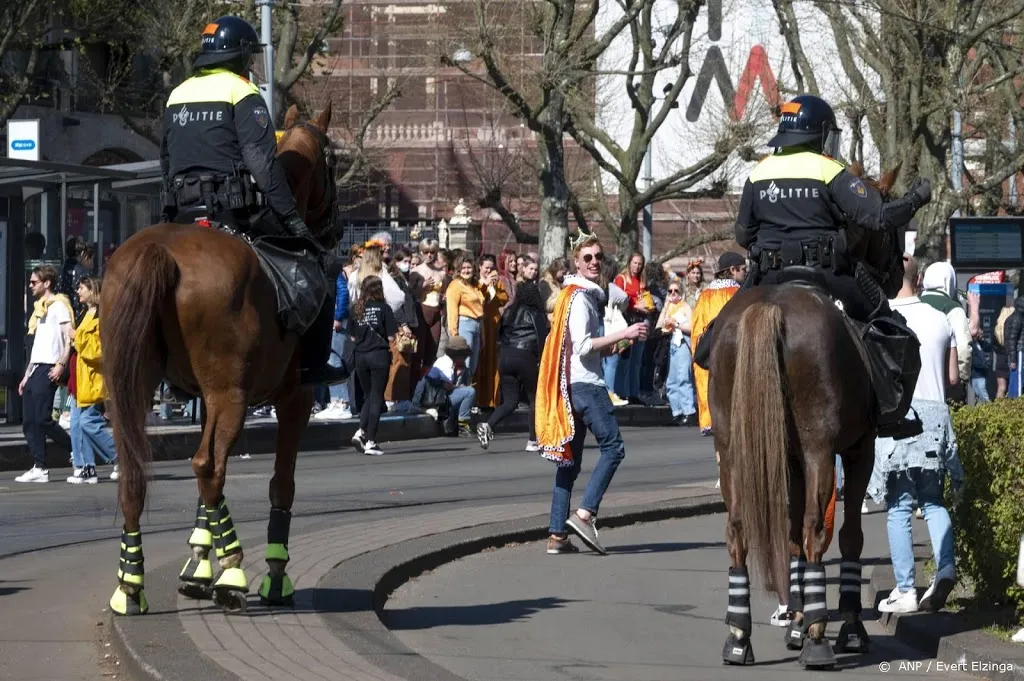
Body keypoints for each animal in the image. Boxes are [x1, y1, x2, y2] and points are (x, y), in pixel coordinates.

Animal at [102, 102, 337, 614]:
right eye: (331, 161)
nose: (332, 229)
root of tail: (160, 250)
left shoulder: (209, 397)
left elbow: (206, 489)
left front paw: (198, 563)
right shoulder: (294, 399)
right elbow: (280, 483)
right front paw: (272, 575)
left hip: (134, 386)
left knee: (140, 470)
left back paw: (131, 582)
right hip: (232, 396)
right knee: (208, 466)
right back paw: (233, 572)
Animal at [708, 166, 909, 667]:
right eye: (888, 229)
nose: (898, 273)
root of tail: (772, 306)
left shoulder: (792, 460)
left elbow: (791, 535)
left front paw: (797, 621)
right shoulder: (856, 451)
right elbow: (848, 535)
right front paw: (844, 627)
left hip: (732, 448)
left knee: (739, 529)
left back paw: (739, 634)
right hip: (821, 450)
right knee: (819, 529)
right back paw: (820, 639)